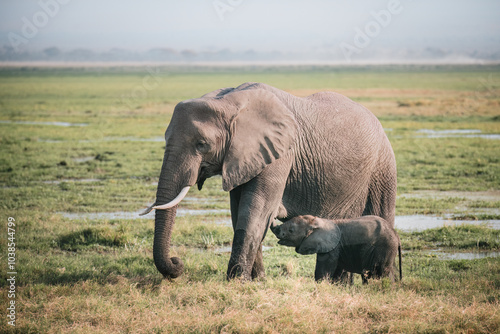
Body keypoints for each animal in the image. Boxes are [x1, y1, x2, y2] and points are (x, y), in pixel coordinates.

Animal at [139, 82, 396, 280]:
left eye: (201, 144)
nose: (177, 261)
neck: (230, 101)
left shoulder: (280, 155)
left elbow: (255, 211)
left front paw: (237, 281)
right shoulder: (243, 158)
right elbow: (239, 213)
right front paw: (258, 280)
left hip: (382, 169)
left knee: (381, 214)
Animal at [270, 215, 402, 284]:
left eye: (291, 231)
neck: (317, 221)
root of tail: (396, 235)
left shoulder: (332, 248)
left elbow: (322, 270)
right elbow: (337, 271)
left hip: (385, 248)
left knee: (383, 272)